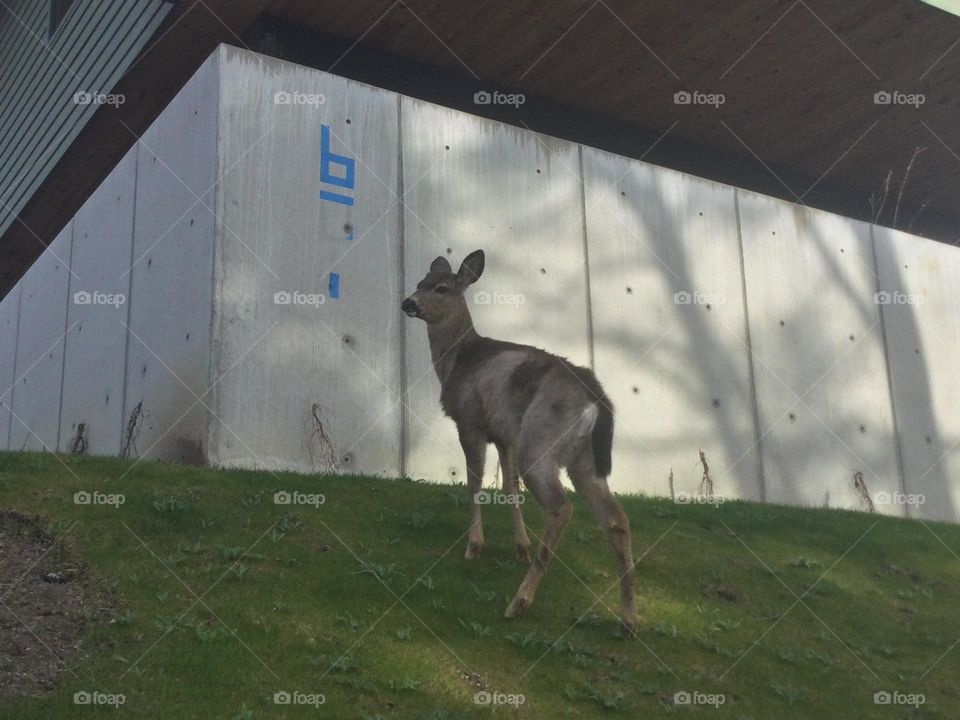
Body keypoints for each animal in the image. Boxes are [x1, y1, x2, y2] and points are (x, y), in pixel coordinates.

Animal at [401, 249, 637, 631]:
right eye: (420, 282)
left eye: (441, 288)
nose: (408, 302)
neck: (455, 361)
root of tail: (597, 398)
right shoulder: (504, 434)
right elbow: (509, 487)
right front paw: (520, 547)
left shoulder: (470, 421)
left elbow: (474, 481)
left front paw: (474, 546)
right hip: (582, 458)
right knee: (616, 518)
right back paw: (629, 618)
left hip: (540, 442)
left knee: (561, 507)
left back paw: (519, 601)